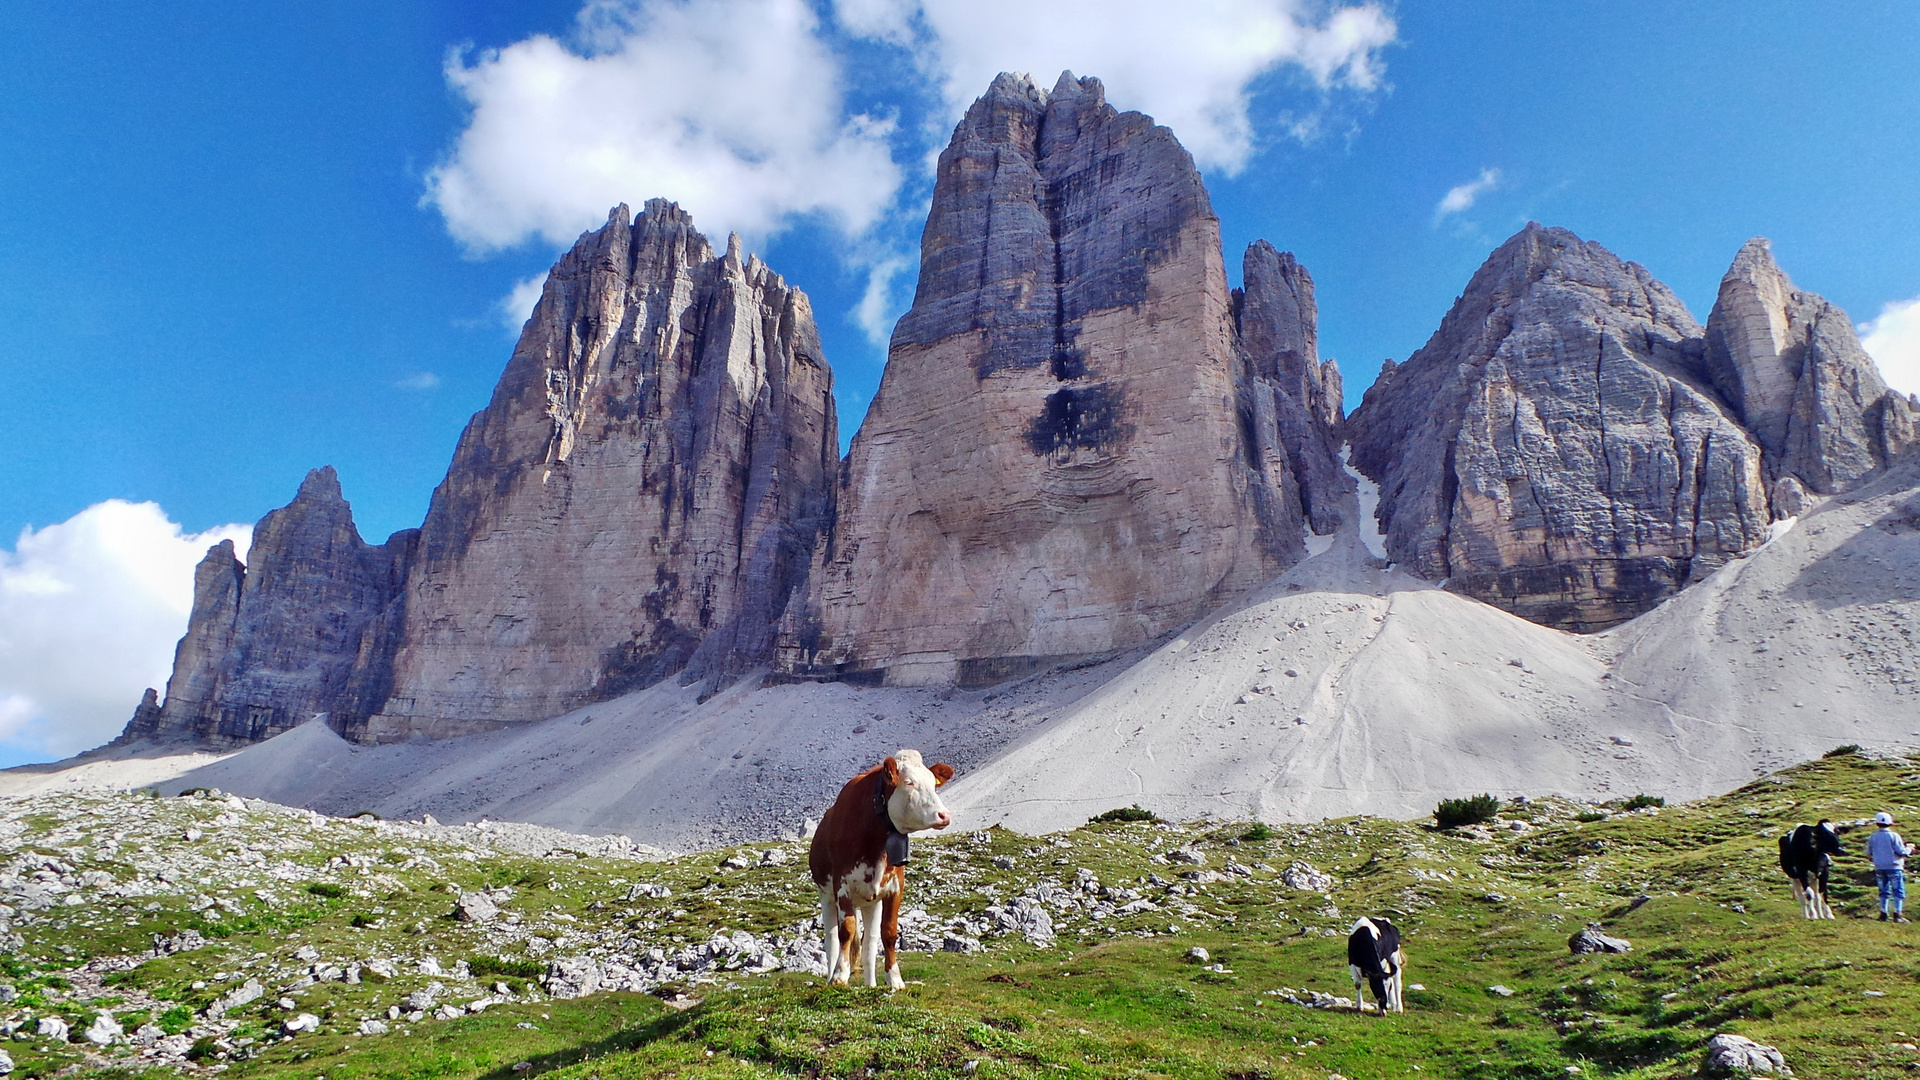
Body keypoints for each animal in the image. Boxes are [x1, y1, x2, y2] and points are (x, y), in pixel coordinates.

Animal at [806, 749, 956, 983]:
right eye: (909, 782)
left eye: (933, 783)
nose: (944, 815)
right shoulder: (842, 885)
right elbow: (846, 930)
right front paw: (840, 976)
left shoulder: (894, 887)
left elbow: (889, 932)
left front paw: (894, 979)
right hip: (826, 895)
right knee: (831, 940)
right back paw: (831, 976)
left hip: (871, 902)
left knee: (869, 942)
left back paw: (871, 984)